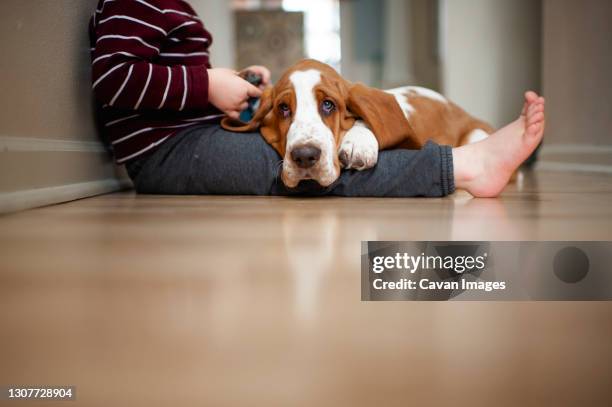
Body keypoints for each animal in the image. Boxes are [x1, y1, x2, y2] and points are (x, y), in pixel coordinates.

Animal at [221, 58, 492, 188]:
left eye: (328, 104)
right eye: (283, 108)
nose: (305, 157)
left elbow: (363, 119)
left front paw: (357, 144)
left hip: (477, 133)